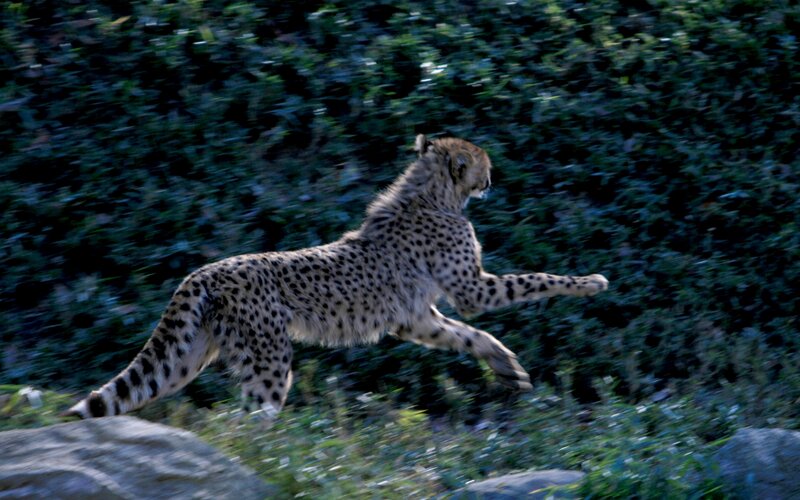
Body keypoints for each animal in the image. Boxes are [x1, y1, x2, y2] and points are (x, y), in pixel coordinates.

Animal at [63, 134, 609, 420]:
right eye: (481, 165)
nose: (493, 179)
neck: (433, 194)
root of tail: (205, 269)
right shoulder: (471, 289)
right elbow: (533, 280)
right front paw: (590, 282)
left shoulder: (417, 318)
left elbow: (472, 336)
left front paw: (507, 367)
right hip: (268, 356)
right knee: (254, 417)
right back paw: (285, 454)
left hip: (190, 357)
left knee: (148, 393)